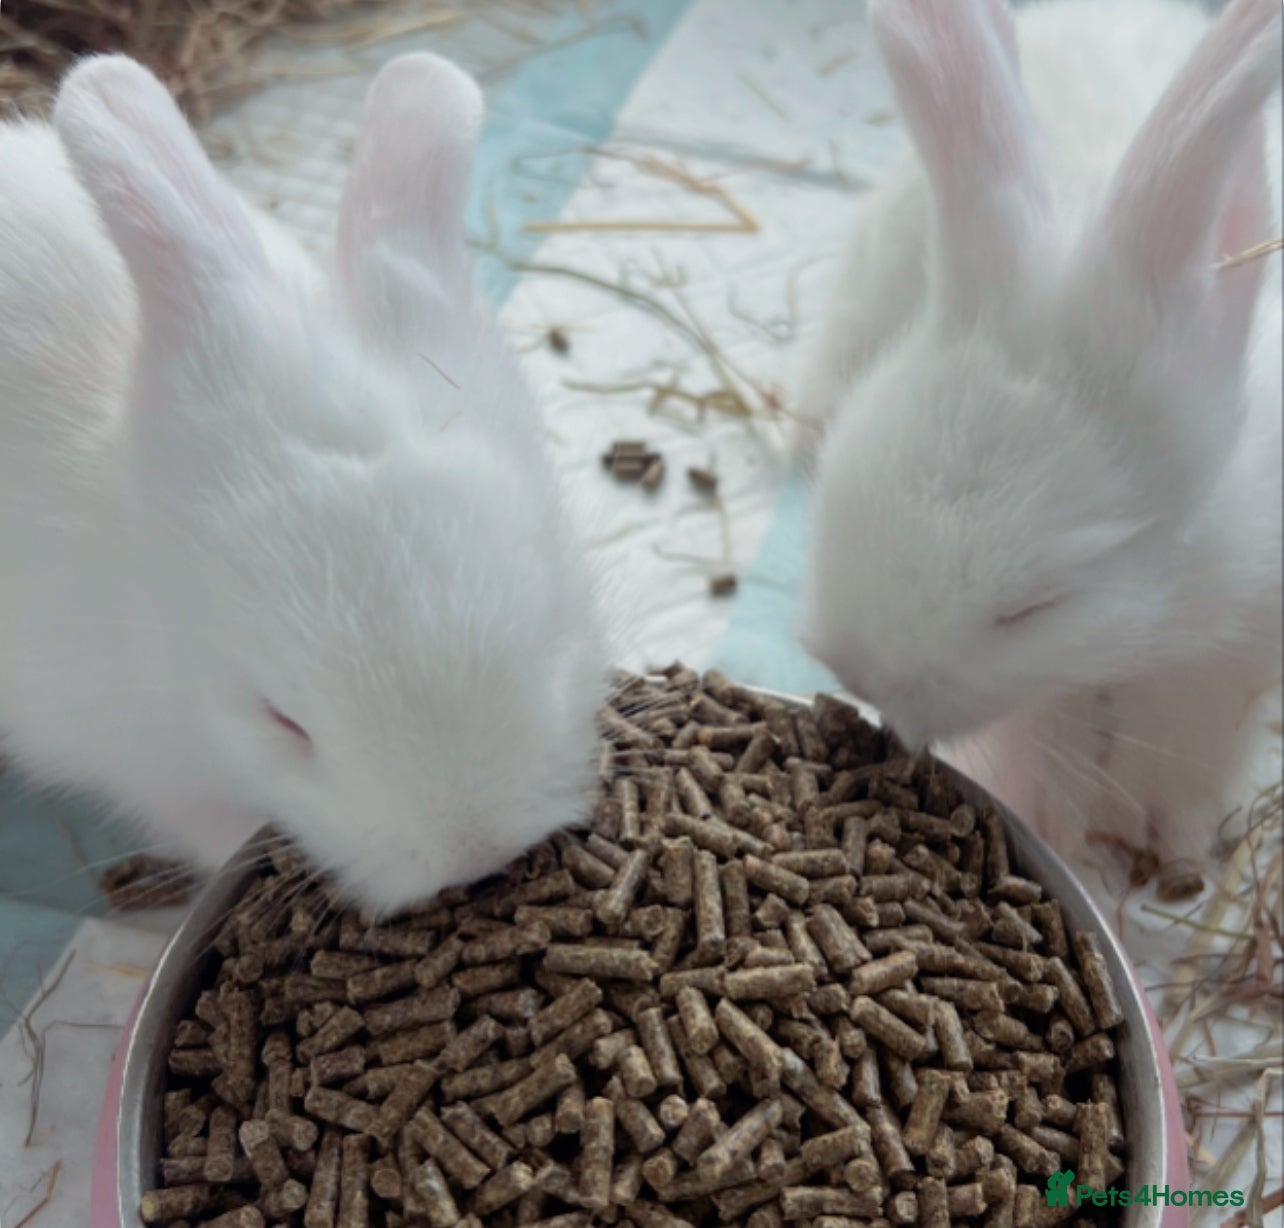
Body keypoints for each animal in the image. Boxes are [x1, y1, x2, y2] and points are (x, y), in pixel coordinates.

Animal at [796, 0, 1283, 863]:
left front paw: (1174, 837)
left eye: (1035, 607)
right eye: (834, 490)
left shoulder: (1231, 660)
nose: (866, 678)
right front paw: (1053, 818)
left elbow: (1190, 740)